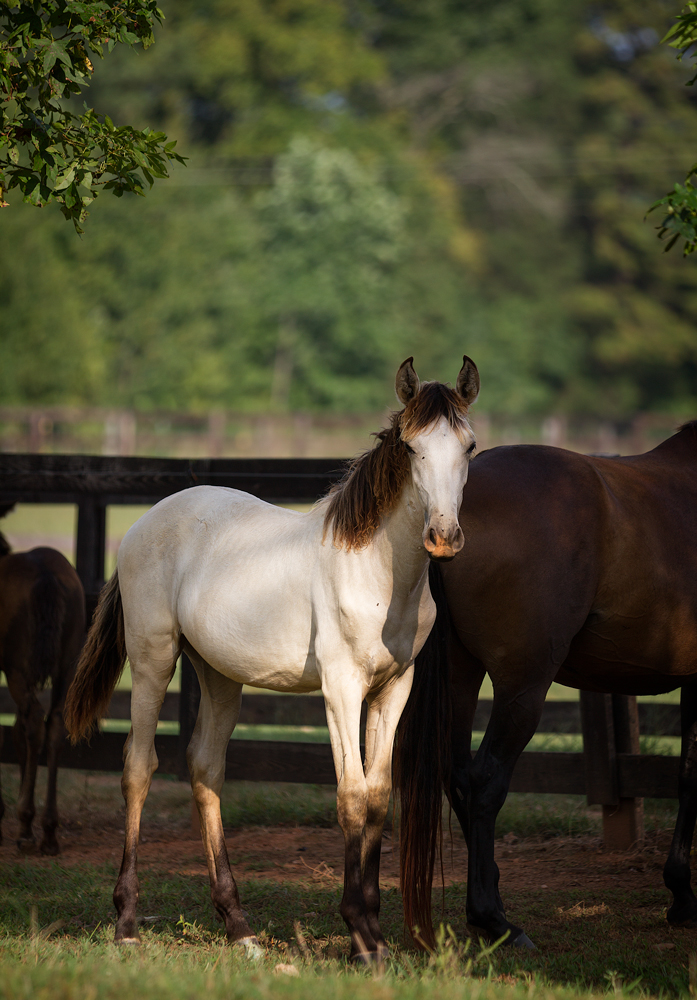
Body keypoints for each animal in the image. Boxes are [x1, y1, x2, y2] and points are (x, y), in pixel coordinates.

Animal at [64, 360, 478, 960]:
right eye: (410, 445)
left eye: (469, 446)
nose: (443, 537)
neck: (376, 572)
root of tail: (143, 524)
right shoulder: (341, 689)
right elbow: (351, 797)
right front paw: (360, 932)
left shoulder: (394, 688)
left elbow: (378, 799)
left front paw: (373, 935)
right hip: (152, 660)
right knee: (138, 769)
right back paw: (126, 924)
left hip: (217, 675)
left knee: (206, 769)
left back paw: (240, 927)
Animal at [394, 418, 696, 948]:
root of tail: (444, 516)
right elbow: (694, 778)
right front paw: (683, 895)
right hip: (523, 687)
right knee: (484, 781)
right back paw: (494, 920)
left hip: (460, 675)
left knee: (457, 777)